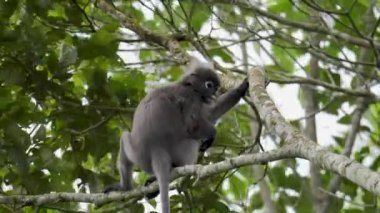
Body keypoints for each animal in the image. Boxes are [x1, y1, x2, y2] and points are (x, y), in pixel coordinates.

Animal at [104, 58, 248, 213]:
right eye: (209, 85)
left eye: (216, 88)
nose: (214, 94)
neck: (186, 86)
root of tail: (157, 147)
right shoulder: (190, 99)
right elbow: (193, 125)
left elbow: (209, 114)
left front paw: (241, 87)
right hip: (183, 149)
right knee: (191, 143)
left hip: (138, 155)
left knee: (125, 137)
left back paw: (127, 188)